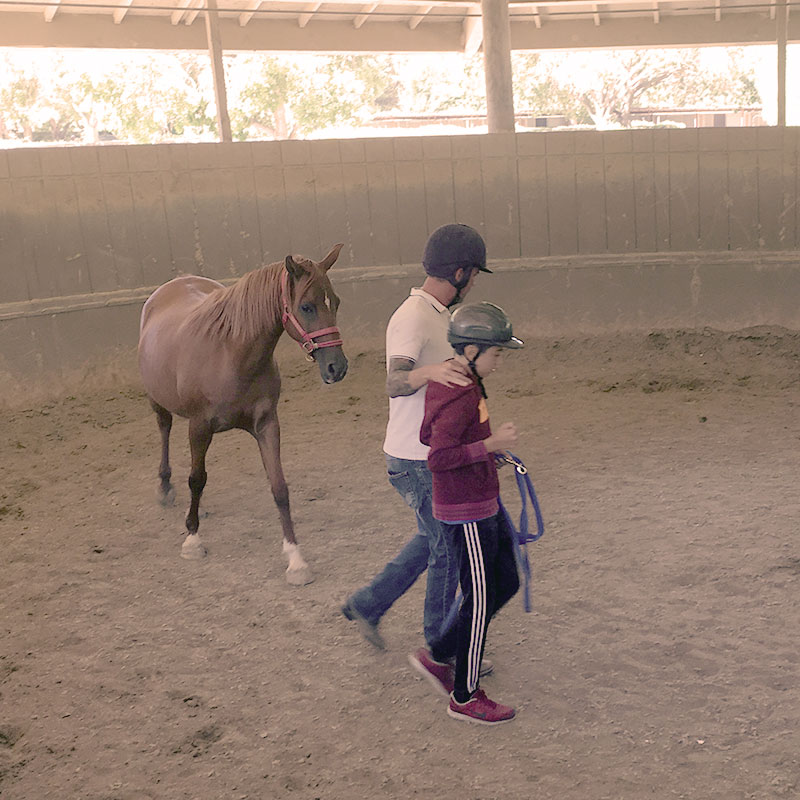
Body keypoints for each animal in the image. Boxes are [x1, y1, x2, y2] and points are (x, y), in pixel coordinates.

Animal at [137, 241, 346, 584]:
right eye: (306, 307)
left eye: (336, 302)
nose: (336, 367)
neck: (231, 354)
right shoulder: (199, 426)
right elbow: (197, 479)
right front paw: (192, 540)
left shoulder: (267, 425)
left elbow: (279, 487)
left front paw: (296, 559)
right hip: (158, 401)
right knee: (164, 428)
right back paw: (165, 487)